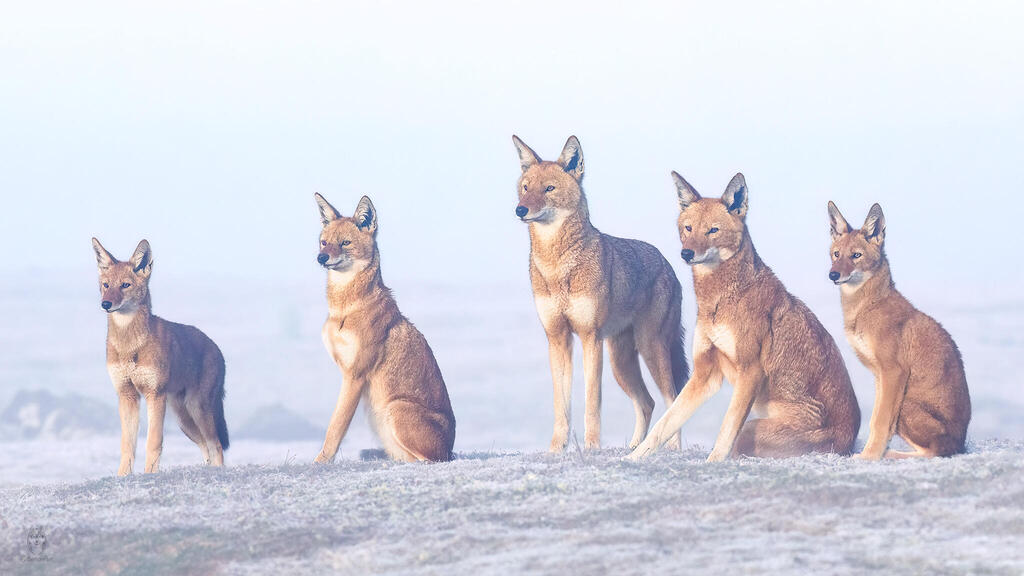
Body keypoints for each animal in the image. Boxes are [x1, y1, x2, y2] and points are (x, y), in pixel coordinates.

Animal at [92, 238, 228, 475]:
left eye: (125, 285)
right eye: (106, 285)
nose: (106, 304)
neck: (130, 345)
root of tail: (216, 348)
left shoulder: (155, 395)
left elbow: (153, 442)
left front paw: (150, 474)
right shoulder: (127, 395)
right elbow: (127, 445)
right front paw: (123, 476)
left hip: (198, 410)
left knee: (216, 445)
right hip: (184, 420)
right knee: (206, 448)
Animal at [313, 193, 456, 462]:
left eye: (345, 243)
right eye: (324, 243)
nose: (321, 258)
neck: (344, 310)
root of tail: (450, 449)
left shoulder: (354, 376)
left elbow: (335, 427)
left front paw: (320, 462)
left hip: (394, 409)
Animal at [512, 135, 689, 451]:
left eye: (549, 188)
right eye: (526, 187)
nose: (520, 210)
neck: (557, 265)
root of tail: (667, 264)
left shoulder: (589, 337)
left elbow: (592, 402)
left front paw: (593, 446)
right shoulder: (557, 338)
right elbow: (561, 405)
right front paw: (556, 448)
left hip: (651, 349)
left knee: (671, 398)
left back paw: (671, 449)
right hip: (621, 363)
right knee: (647, 403)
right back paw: (635, 446)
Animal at [629, 173, 860, 461]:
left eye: (713, 230)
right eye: (689, 228)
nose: (686, 253)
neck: (719, 301)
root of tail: (851, 443)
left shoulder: (750, 371)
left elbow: (726, 427)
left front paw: (712, 462)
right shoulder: (705, 374)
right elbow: (664, 424)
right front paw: (631, 458)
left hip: (751, 429)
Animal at [828, 202, 970, 458]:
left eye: (856, 255)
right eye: (836, 254)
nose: (833, 274)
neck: (867, 307)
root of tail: (961, 444)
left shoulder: (894, 373)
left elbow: (880, 422)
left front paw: (870, 457)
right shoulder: (879, 376)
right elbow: (875, 418)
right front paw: (872, 452)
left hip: (906, 406)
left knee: (934, 452)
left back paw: (891, 454)